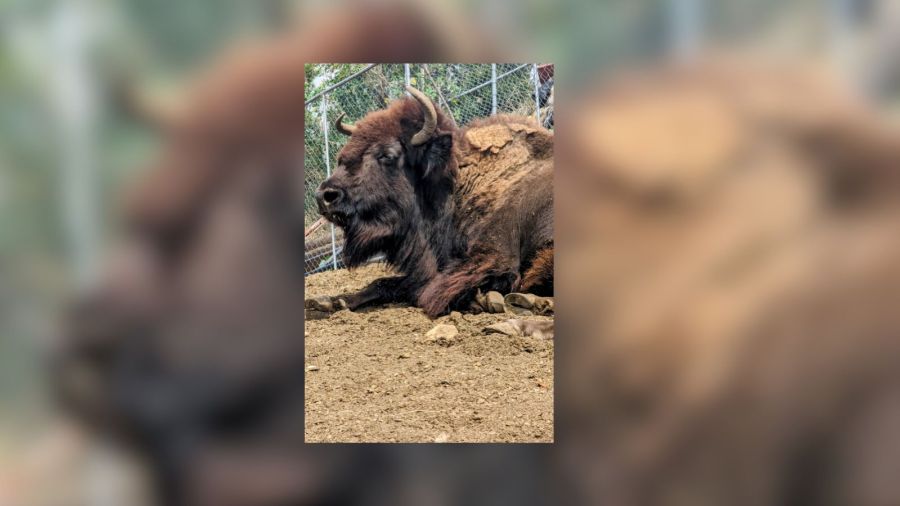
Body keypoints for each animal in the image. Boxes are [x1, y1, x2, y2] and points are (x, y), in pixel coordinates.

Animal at [306, 85, 552, 318]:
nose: (325, 196)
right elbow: (383, 283)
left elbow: (425, 289)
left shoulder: (494, 258)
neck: (454, 186)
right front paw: (330, 301)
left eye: (387, 155)